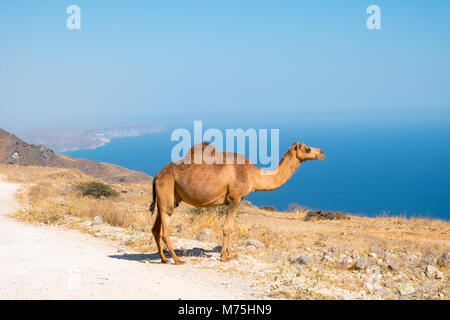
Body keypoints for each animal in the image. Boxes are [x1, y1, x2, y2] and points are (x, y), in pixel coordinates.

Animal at [149, 141, 326, 264]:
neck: (253, 175)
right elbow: (227, 227)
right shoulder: (235, 198)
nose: (322, 153)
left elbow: (232, 228)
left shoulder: (235, 200)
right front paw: (224, 256)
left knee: (155, 228)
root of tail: (156, 176)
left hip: (165, 197)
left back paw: (164, 259)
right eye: (307, 149)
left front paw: (232, 254)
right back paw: (177, 260)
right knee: (165, 229)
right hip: (167, 191)